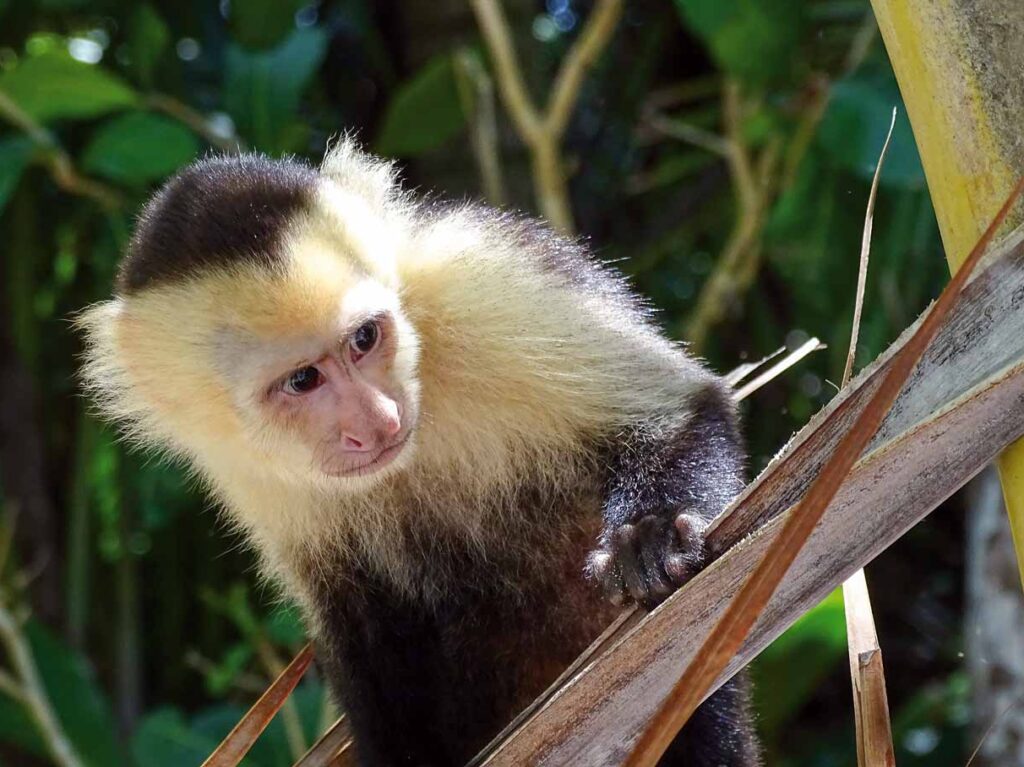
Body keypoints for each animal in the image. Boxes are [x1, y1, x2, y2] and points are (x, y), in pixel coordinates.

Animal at [77, 140, 761, 761]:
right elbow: (361, 627)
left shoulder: (477, 279)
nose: (378, 422)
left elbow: (680, 410)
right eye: (302, 380)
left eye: (364, 338)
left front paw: (649, 537)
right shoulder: (237, 464)